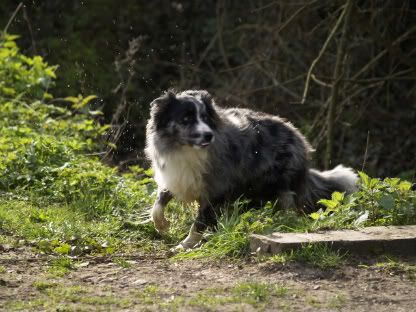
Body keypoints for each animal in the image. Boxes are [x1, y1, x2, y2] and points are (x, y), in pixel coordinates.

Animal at [144, 89, 358, 250]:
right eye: (186, 119)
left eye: (205, 117)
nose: (208, 135)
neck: (186, 149)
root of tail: (298, 136)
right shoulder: (176, 177)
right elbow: (158, 203)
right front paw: (161, 224)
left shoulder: (216, 188)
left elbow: (200, 221)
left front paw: (185, 245)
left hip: (272, 183)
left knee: (285, 203)